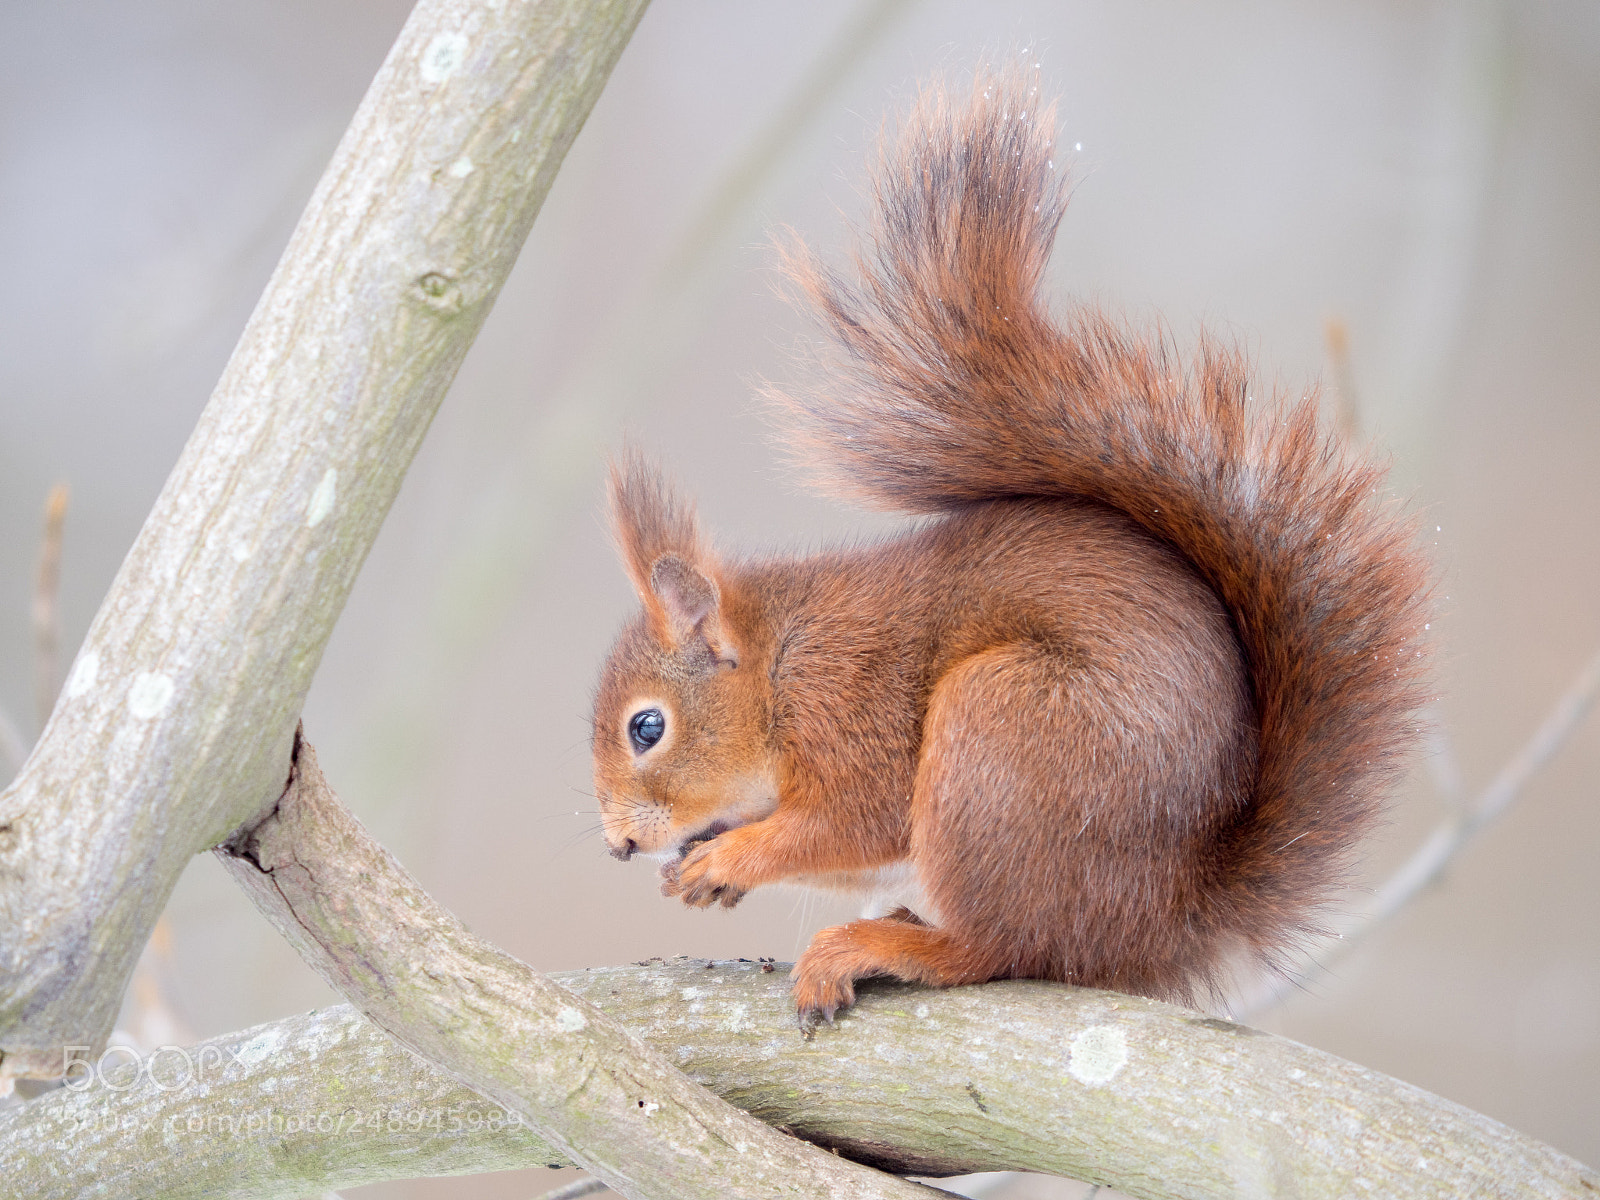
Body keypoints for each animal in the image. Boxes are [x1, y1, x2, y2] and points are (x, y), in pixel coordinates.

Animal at [590, 67, 1430, 1027]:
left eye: (647, 727)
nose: (616, 844)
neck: (777, 664)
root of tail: (1157, 923)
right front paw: (710, 865)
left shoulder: (851, 706)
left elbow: (855, 822)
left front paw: (734, 856)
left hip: (1001, 731)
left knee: (1001, 947)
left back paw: (885, 946)